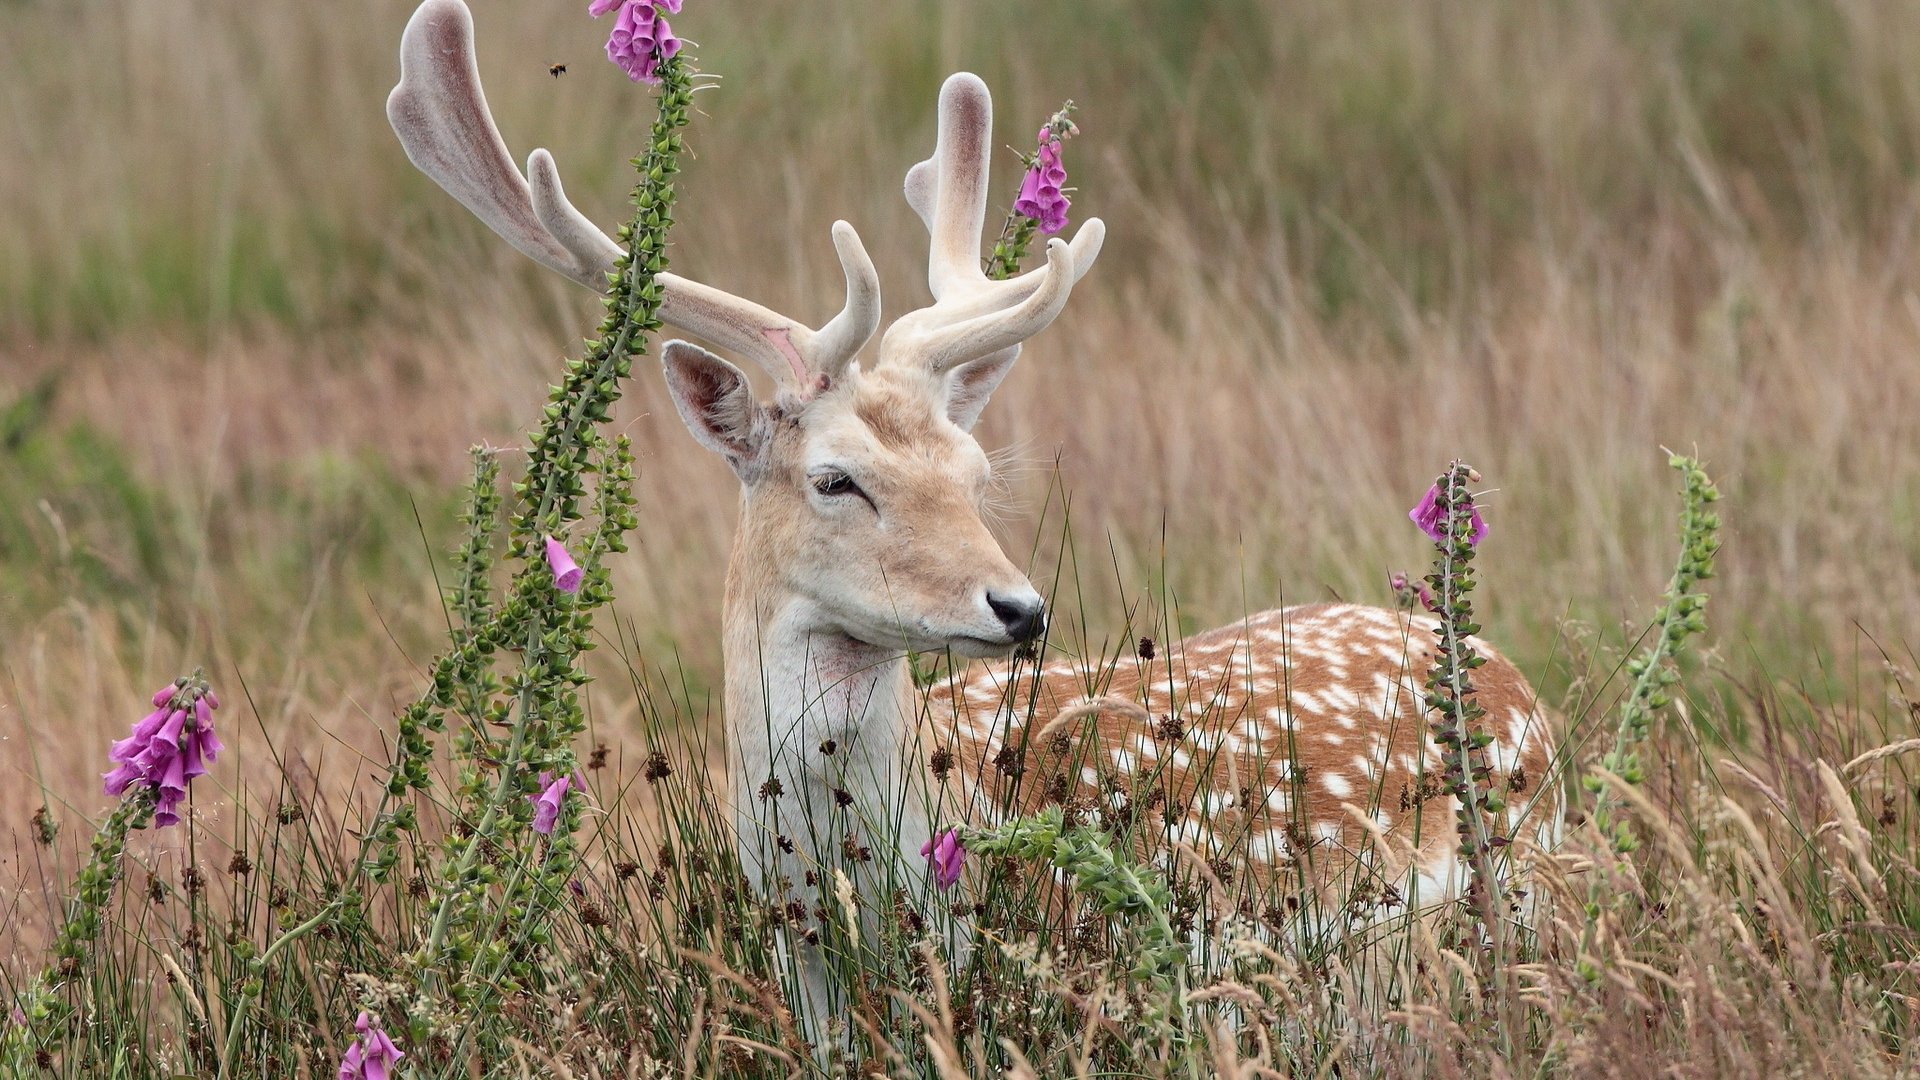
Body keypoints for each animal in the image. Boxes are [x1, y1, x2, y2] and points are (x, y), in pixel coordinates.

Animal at [385, 0, 1559, 1022]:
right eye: (836, 478)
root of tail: (1498, 665)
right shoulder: (797, 965)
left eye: (973, 467)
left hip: (1525, 882)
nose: (1020, 609)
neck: (858, 879)